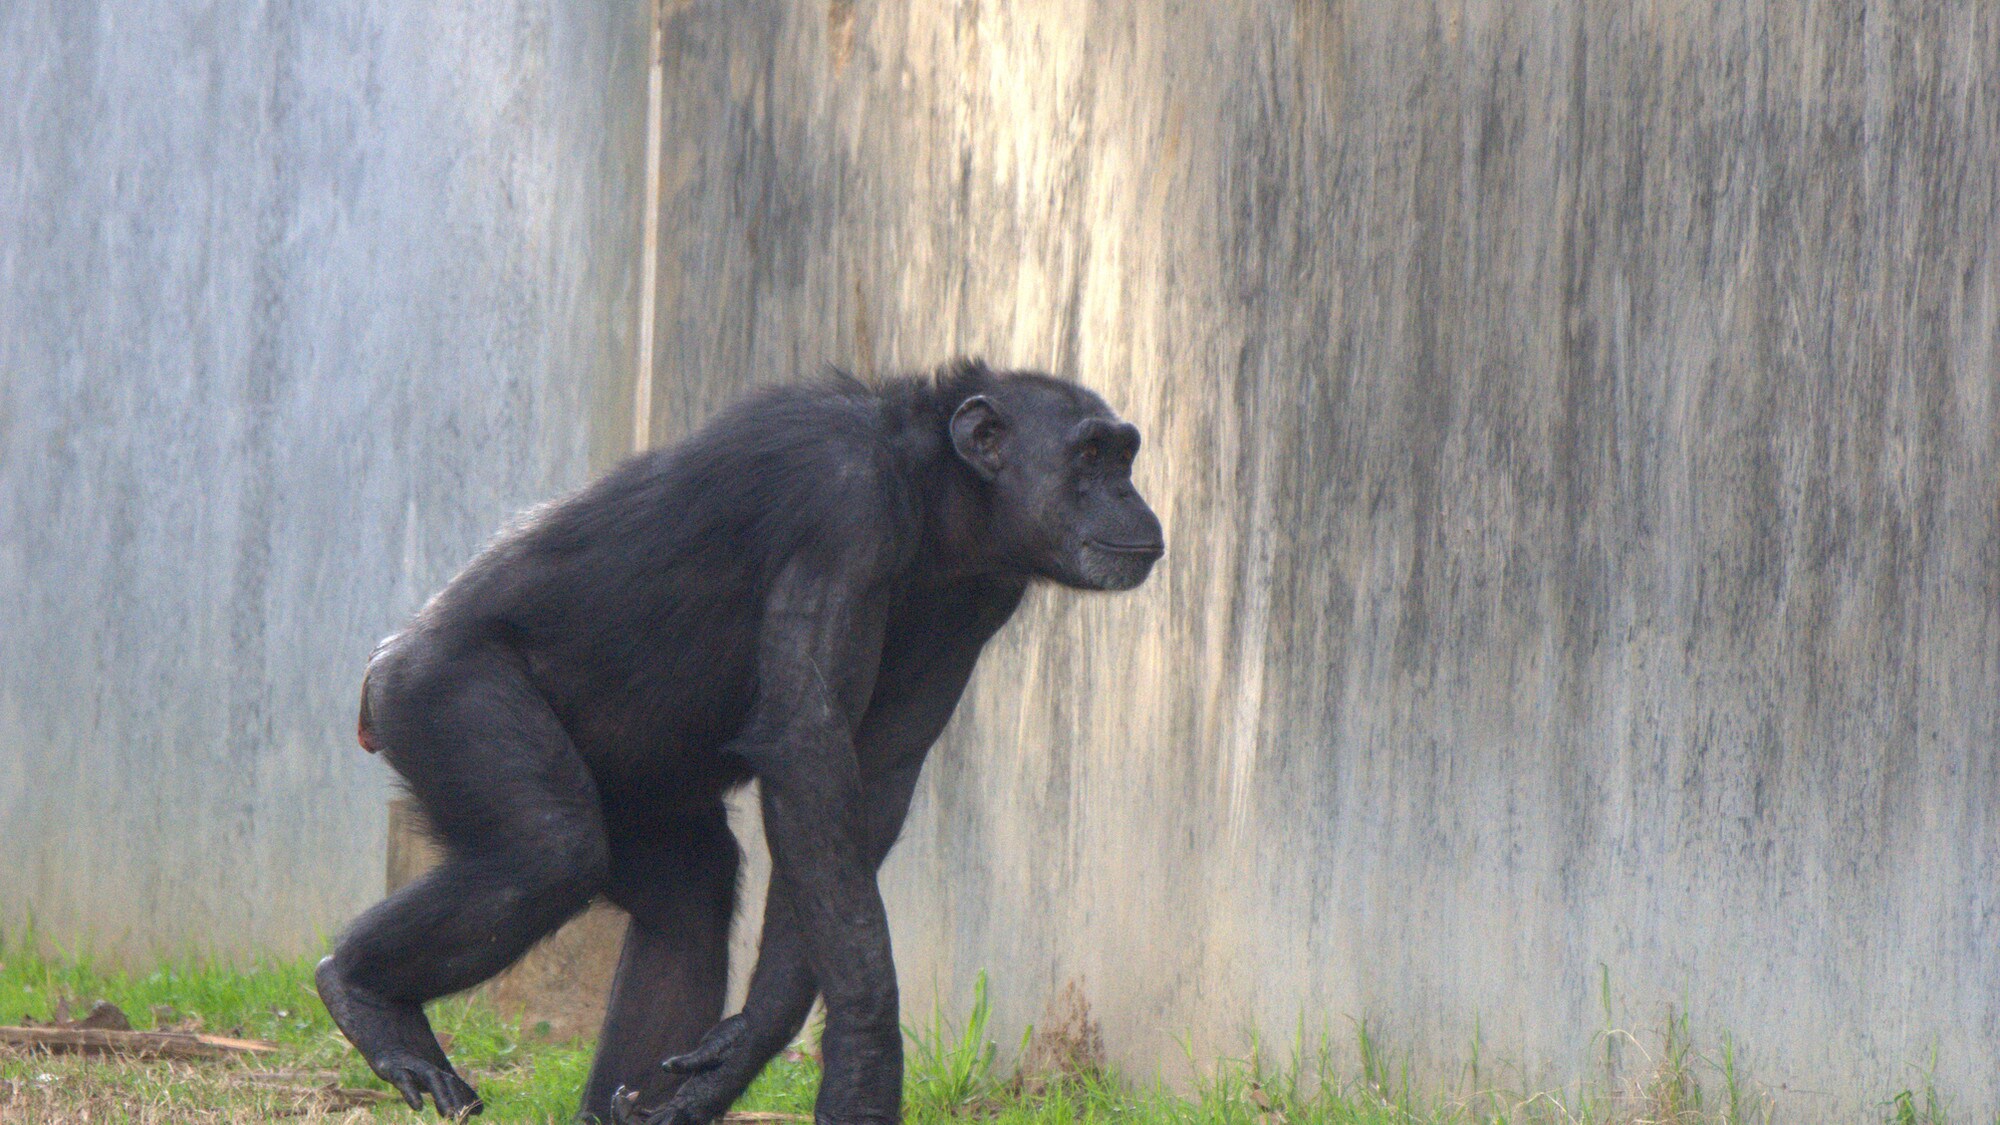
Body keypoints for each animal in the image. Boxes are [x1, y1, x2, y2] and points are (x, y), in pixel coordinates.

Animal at [318, 356, 1168, 1112]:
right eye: (1091, 455)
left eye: (1122, 454)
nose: (1131, 492)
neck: (934, 493)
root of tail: (382, 665)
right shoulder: (845, 503)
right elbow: (806, 744)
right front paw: (866, 1048)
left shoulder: (982, 597)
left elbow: (864, 786)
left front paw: (747, 1044)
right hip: (439, 692)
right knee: (546, 846)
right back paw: (360, 990)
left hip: (641, 792)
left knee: (689, 901)